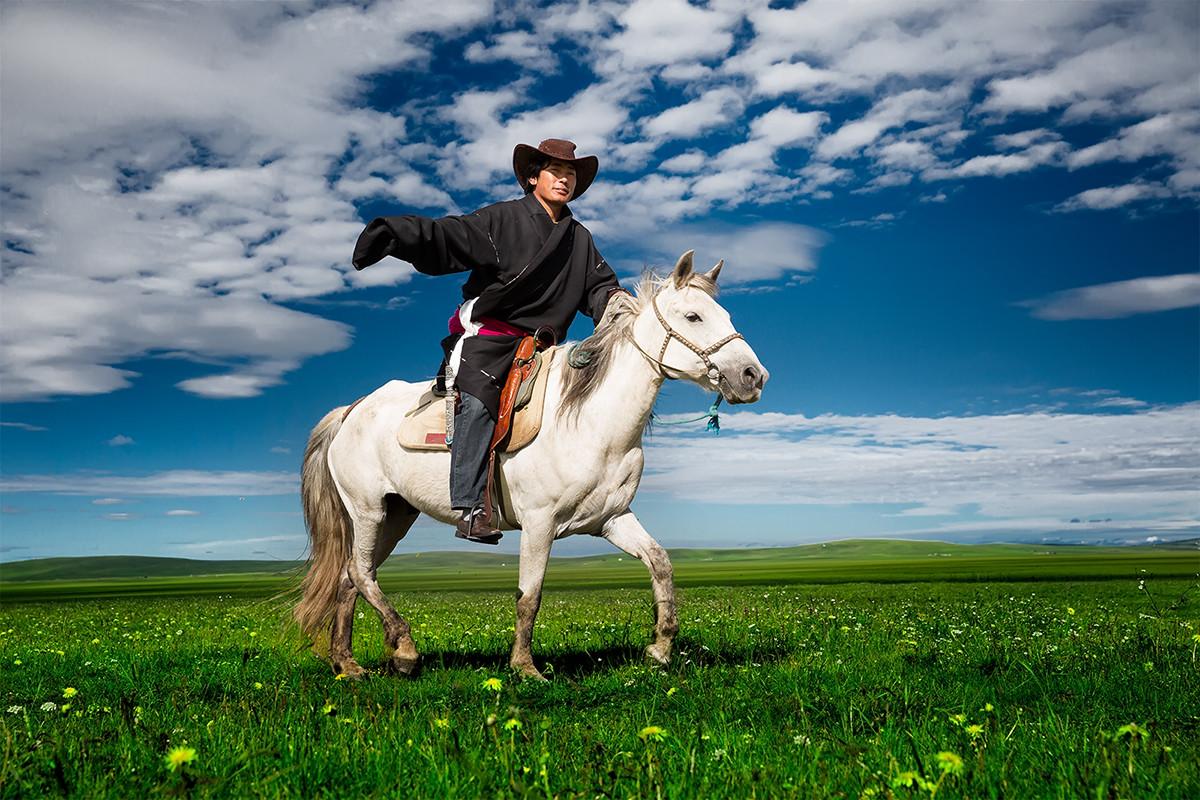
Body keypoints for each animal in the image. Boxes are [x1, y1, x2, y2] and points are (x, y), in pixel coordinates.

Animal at [297, 251, 768, 681]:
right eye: (693, 316)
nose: (753, 376)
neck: (591, 422)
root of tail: (351, 410)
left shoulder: (612, 518)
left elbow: (661, 563)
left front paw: (660, 648)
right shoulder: (540, 524)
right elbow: (530, 594)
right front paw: (525, 667)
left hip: (396, 514)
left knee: (351, 577)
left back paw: (348, 664)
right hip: (368, 510)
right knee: (359, 572)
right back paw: (405, 650)